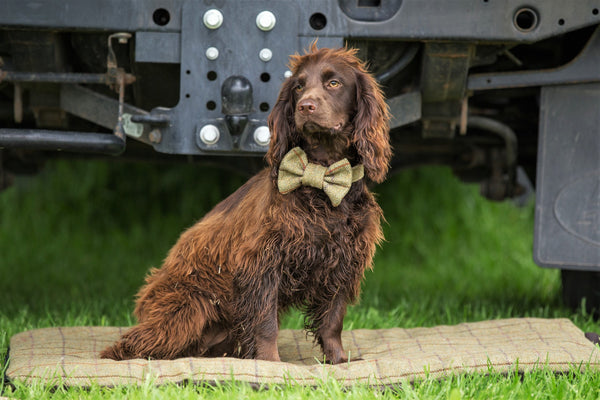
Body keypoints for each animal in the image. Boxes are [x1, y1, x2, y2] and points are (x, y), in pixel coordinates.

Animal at [102, 45, 394, 364]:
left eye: (333, 83)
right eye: (299, 87)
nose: (305, 106)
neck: (321, 176)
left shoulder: (342, 262)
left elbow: (332, 322)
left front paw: (339, 361)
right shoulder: (262, 264)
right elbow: (265, 323)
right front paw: (271, 363)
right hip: (187, 308)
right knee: (138, 340)